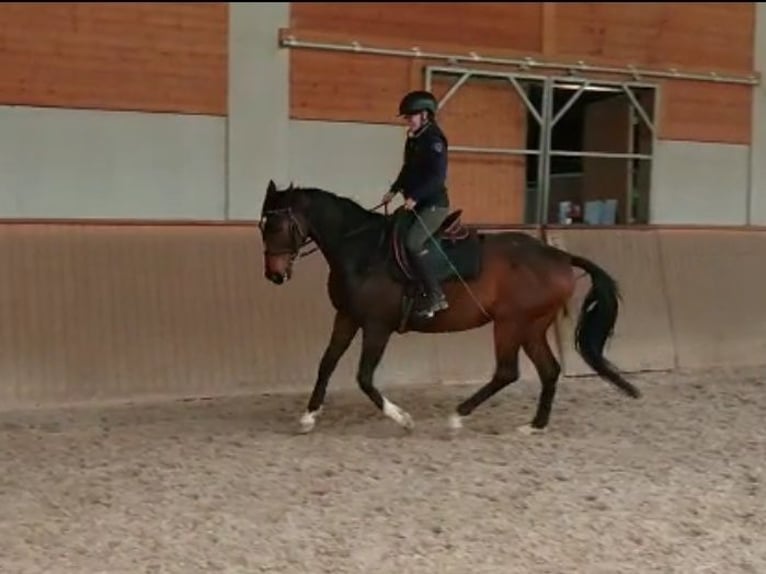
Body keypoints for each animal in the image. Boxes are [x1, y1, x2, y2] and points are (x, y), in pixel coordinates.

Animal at [260, 180, 640, 436]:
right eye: (262, 225)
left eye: (277, 225)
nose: (274, 275)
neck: (362, 250)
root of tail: (559, 256)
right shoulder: (348, 316)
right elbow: (327, 362)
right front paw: (309, 416)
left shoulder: (377, 324)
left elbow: (364, 376)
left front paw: (402, 418)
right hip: (531, 327)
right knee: (548, 371)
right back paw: (534, 426)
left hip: (510, 324)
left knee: (507, 372)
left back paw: (458, 416)